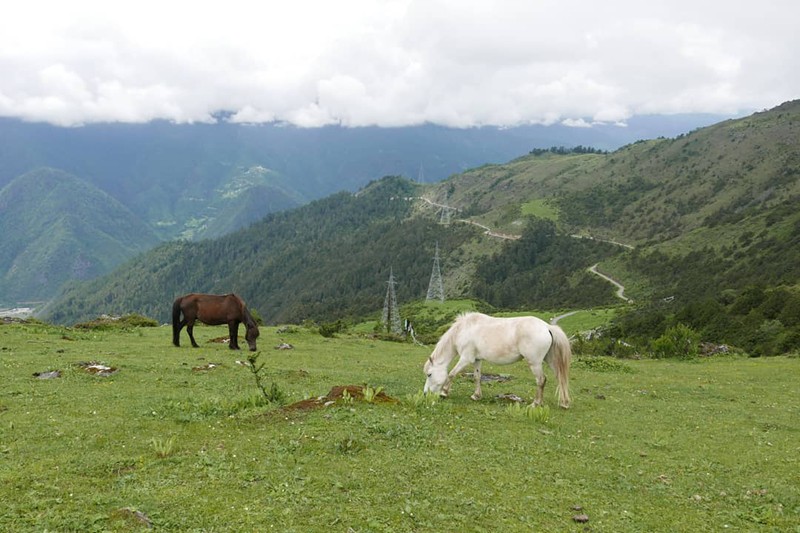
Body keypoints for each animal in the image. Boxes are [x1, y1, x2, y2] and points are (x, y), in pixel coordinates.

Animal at [422, 312, 572, 408]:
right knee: (560, 378)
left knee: (541, 380)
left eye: (429, 374)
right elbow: (477, 377)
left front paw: (444, 392)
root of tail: (547, 327)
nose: (425, 394)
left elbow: (452, 374)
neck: (464, 330)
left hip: (535, 363)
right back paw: (564, 403)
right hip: (550, 360)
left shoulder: (466, 359)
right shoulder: (477, 360)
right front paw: (476, 396)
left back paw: (536, 403)